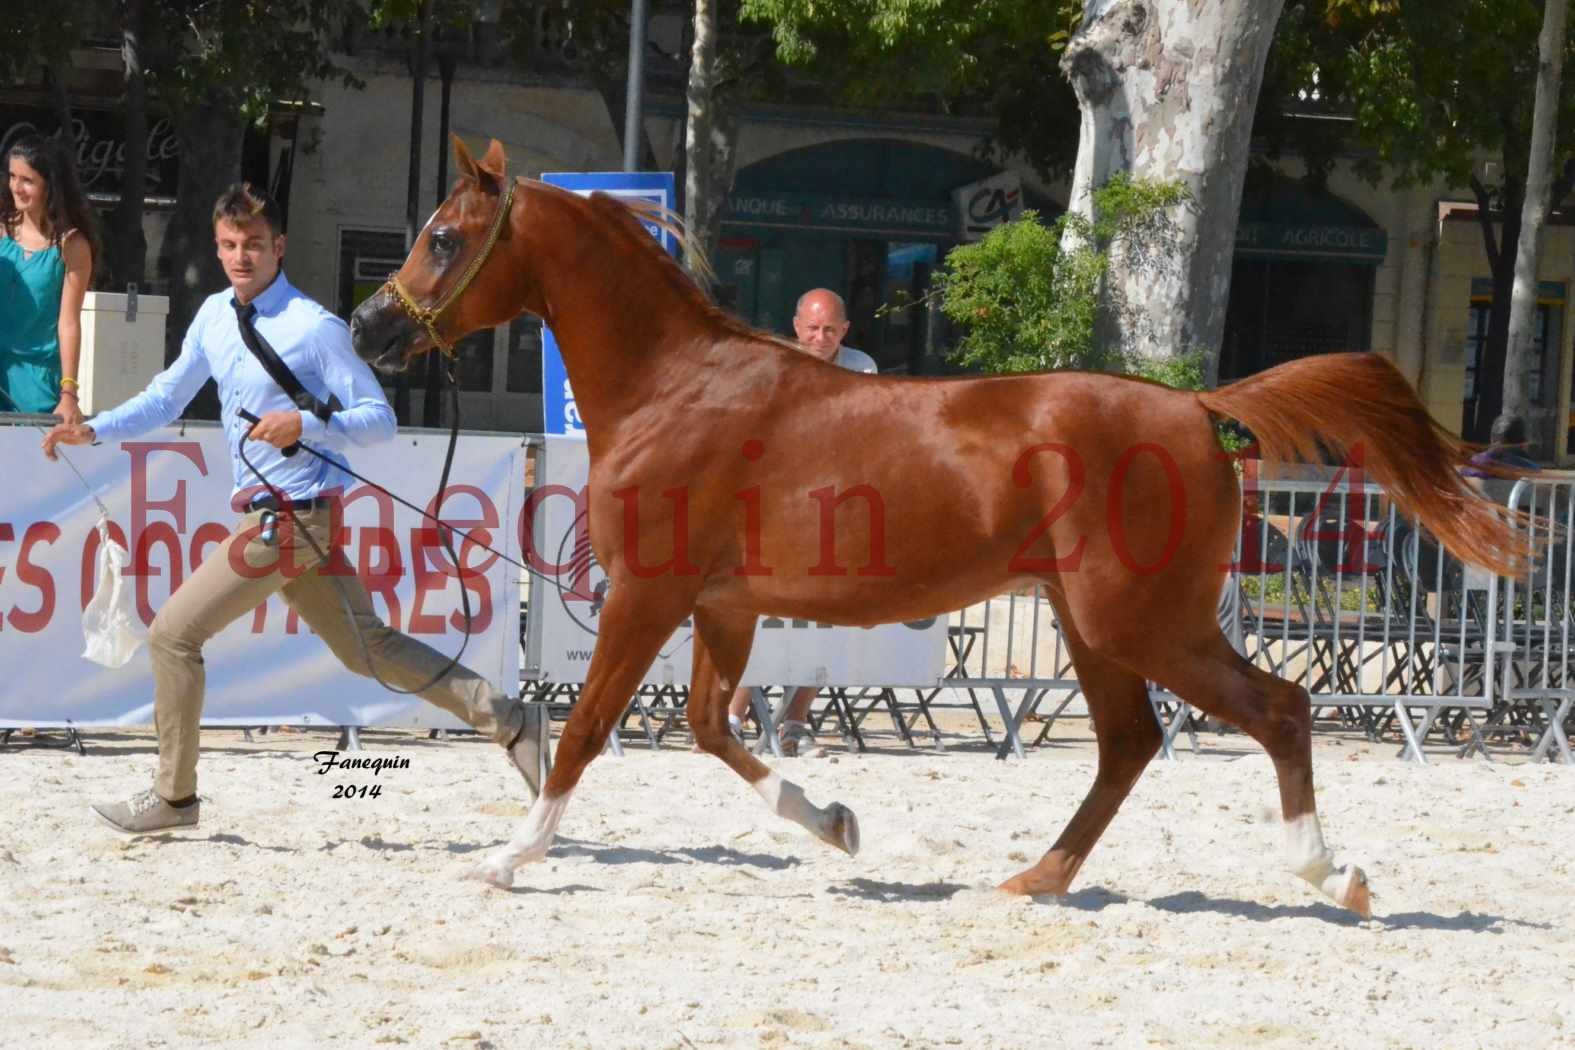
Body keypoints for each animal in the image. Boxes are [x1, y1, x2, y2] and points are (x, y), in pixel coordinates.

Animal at [351, 139, 1530, 919]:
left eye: (444, 238)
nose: (367, 327)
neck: (674, 386)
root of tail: (1199, 410)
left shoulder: (647, 596)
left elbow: (590, 729)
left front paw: (508, 857)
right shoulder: (724, 607)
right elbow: (709, 726)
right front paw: (834, 822)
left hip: (1140, 620)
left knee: (1278, 710)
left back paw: (1335, 875)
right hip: (1092, 625)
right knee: (1129, 743)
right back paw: (1035, 880)